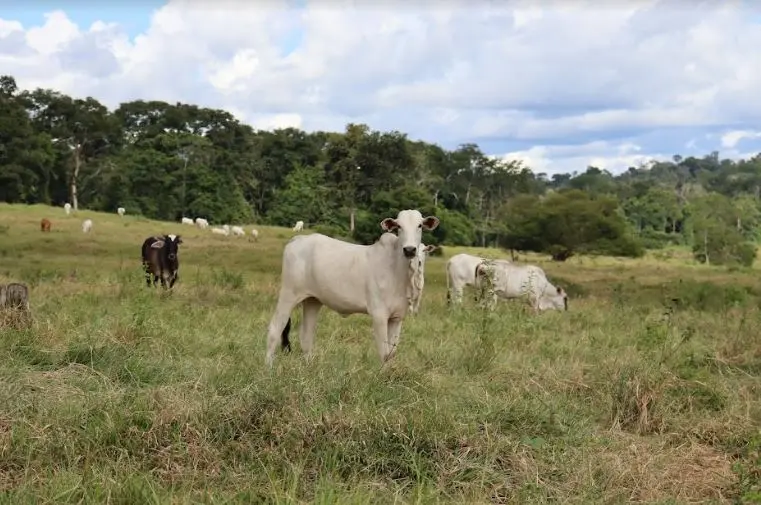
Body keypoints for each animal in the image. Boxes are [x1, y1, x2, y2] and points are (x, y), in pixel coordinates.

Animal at [264, 208, 440, 366]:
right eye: (399, 227)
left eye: (419, 225)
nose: (409, 249)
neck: (397, 271)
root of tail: (297, 240)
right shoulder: (379, 315)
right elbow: (383, 353)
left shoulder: (397, 318)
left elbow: (391, 353)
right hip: (289, 294)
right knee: (275, 328)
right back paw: (268, 367)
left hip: (313, 300)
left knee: (306, 334)